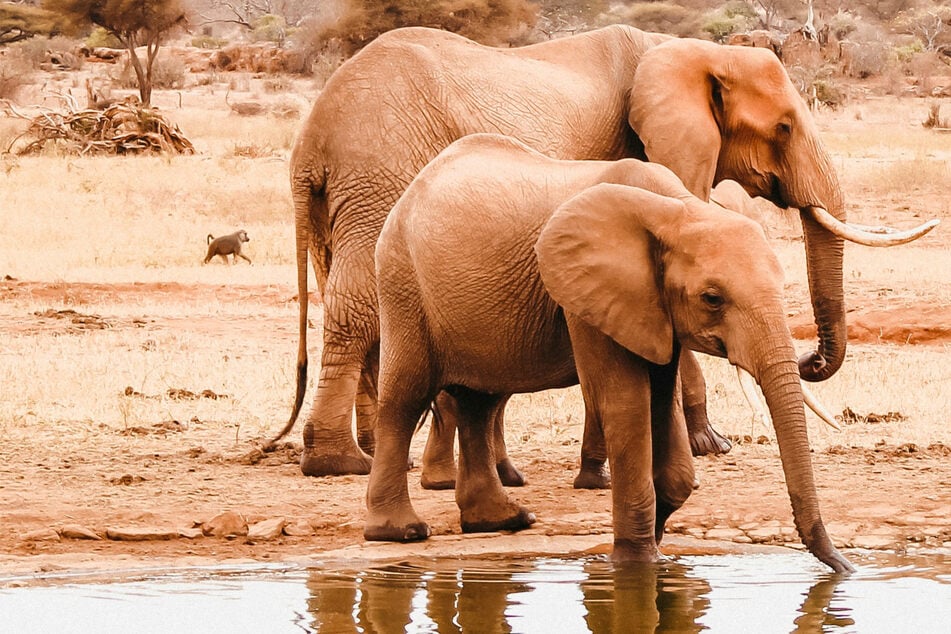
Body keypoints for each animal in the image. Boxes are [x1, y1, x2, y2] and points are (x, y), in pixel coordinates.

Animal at [275, 24, 935, 484]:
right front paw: (711, 445)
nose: (808, 360)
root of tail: (310, 142)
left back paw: (383, 454)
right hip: (380, 172)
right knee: (358, 303)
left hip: (350, 194)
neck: (687, 50)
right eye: (784, 128)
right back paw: (342, 463)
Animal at [368, 133, 853, 573]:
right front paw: (635, 564)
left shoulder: (652, 307)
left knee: (479, 402)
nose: (844, 567)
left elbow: (662, 404)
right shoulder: (585, 294)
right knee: (405, 398)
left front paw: (655, 546)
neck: (677, 210)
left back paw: (501, 522)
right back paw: (400, 531)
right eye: (713, 299)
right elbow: (626, 402)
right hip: (402, 281)